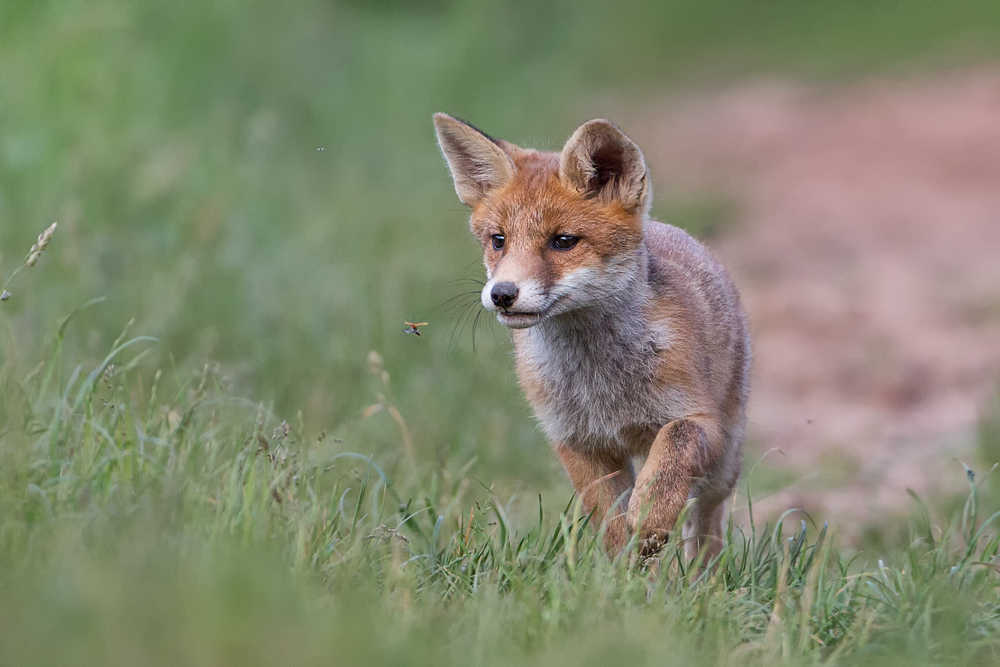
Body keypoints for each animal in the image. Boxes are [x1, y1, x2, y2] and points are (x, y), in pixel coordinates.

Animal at [432, 115, 752, 564]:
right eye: (499, 240)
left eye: (563, 241)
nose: (502, 294)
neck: (601, 381)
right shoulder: (579, 441)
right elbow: (613, 527)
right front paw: (622, 577)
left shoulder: (698, 419)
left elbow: (676, 445)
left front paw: (651, 518)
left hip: (724, 460)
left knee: (706, 523)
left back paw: (704, 575)